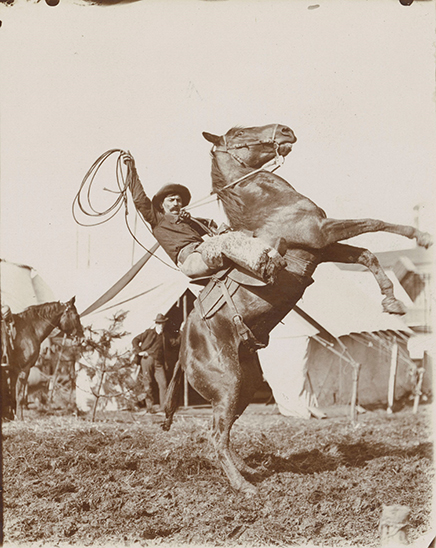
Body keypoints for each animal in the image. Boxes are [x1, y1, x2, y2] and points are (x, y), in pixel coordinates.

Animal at [164, 125, 432, 496]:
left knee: (226, 430)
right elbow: (373, 222)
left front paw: (391, 301)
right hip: (227, 384)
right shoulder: (321, 233)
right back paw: (244, 486)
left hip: (244, 386)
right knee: (216, 434)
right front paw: (420, 235)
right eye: (239, 133)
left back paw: (248, 469)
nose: (285, 130)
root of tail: (182, 346)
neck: (269, 205)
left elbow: (365, 254)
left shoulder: (323, 247)